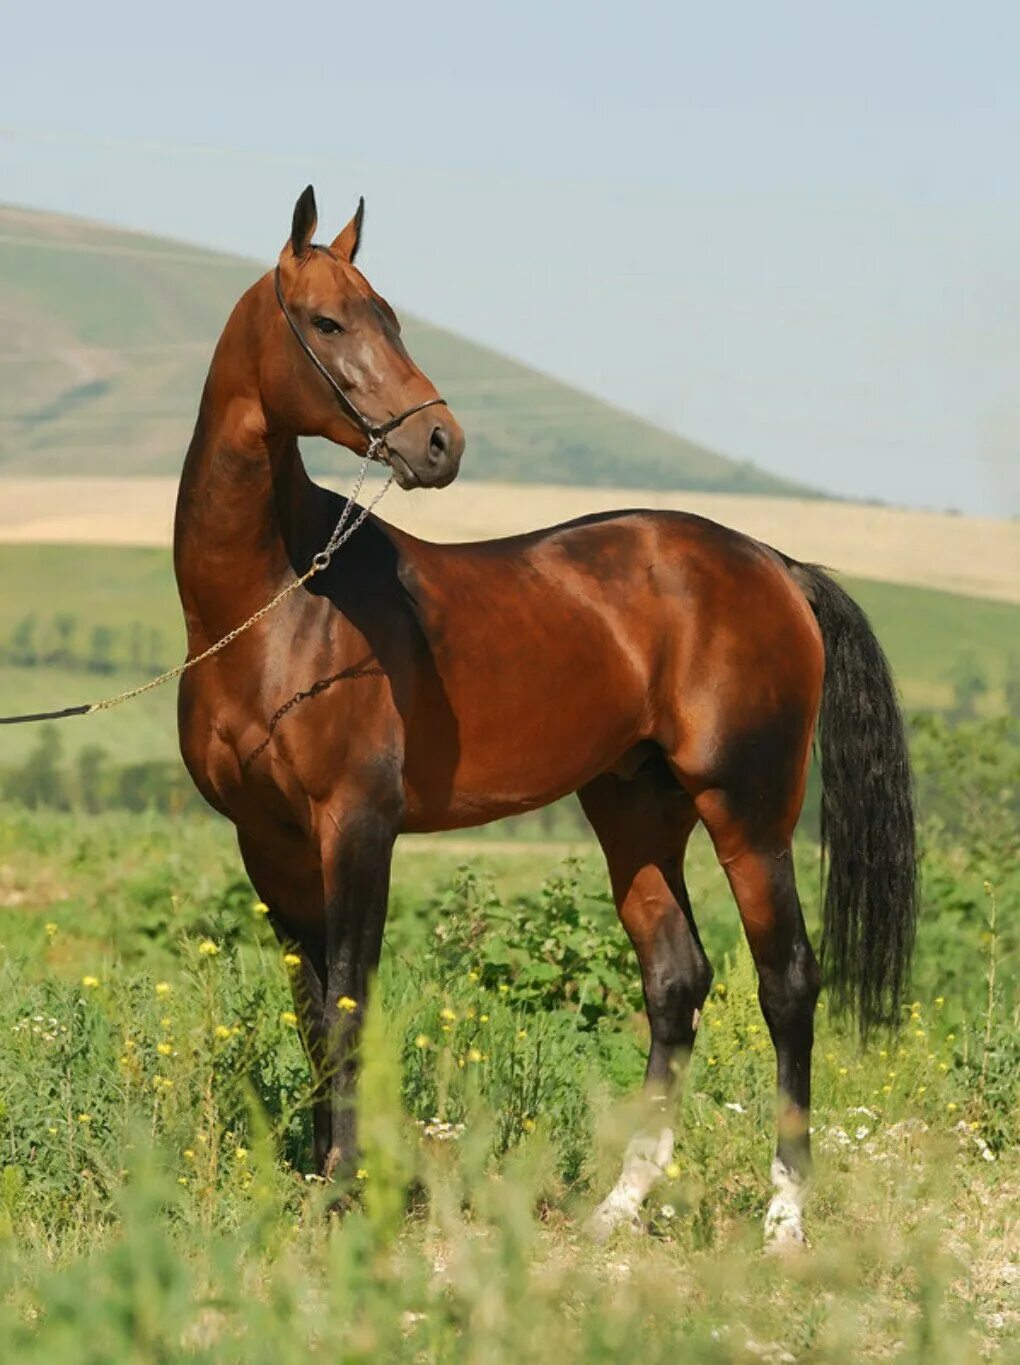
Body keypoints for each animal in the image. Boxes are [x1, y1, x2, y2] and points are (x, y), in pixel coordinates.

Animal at [176, 184, 917, 1250]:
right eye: (326, 322)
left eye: (389, 315)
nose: (440, 443)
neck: (279, 602)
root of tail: (772, 563)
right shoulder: (266, 839)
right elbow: (313, 1007)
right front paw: (323, 1178)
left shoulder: (357, 822)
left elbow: (351, 996)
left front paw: (349, 1186)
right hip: (636, 809)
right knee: (676, 979)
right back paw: (620, 1201)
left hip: (749, 811)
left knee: (787, 982)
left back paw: (784, 1217)